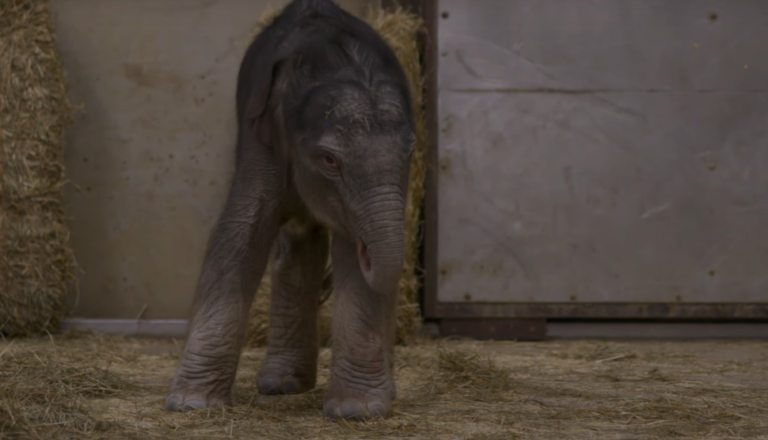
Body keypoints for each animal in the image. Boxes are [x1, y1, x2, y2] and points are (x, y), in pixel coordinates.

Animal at [165, 0, 416, 421]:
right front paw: (191, 404)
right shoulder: (261, 138)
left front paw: (356, 410)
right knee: (295, 244)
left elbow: (352, 254)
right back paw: (280, 385)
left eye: (412, 151)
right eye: (329, 160)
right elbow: (240, 234)